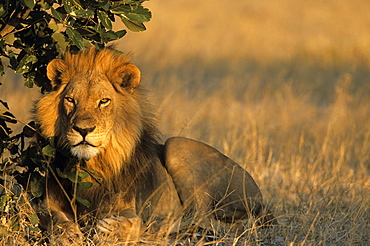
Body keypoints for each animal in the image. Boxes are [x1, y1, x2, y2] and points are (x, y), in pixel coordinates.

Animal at [34, 46, 278, 244]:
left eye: (104, 101)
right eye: (70, 100)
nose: (83, 130)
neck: (91, 165)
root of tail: (262, 201)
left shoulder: (128, 204)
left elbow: (134, 222)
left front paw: (113, 229)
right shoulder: (48, 200)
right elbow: (53, 217)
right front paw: (67, 234)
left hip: (177, 146)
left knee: (204, 220)